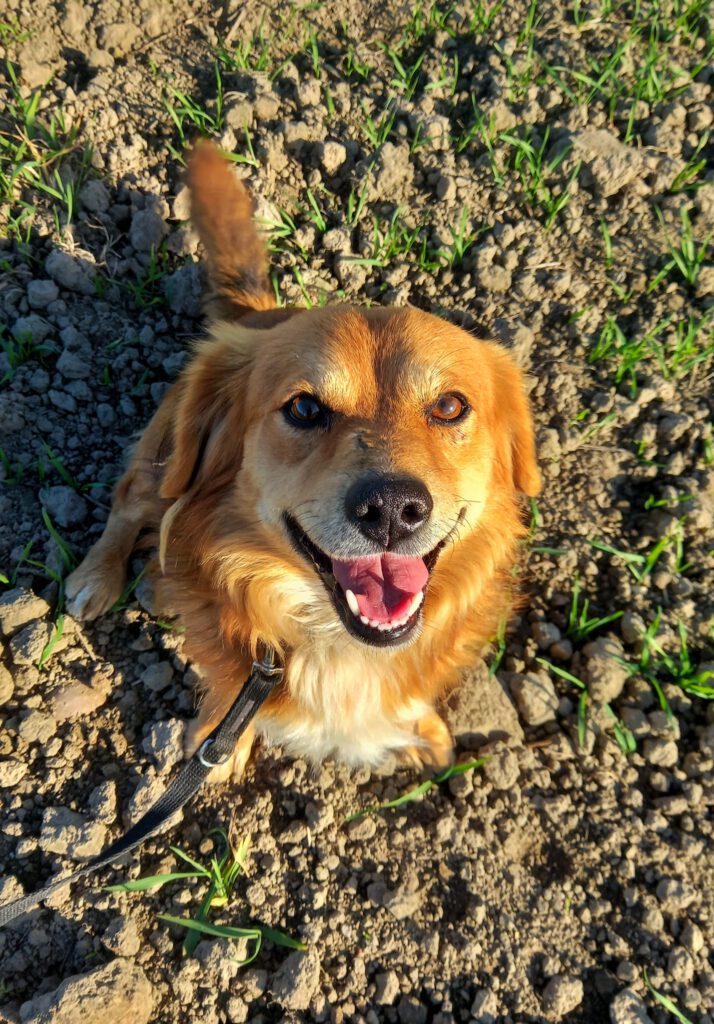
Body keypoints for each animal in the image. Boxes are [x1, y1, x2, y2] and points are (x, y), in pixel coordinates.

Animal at [65, 144, 540, 778]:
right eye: (305, 407)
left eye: (449, 406)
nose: (392, 508)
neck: (335, 640)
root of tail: (257, 314)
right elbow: (227, 695)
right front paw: (221, 741)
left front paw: (424, 732)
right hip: (163, 461)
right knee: (127, 503)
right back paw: (96, 579)